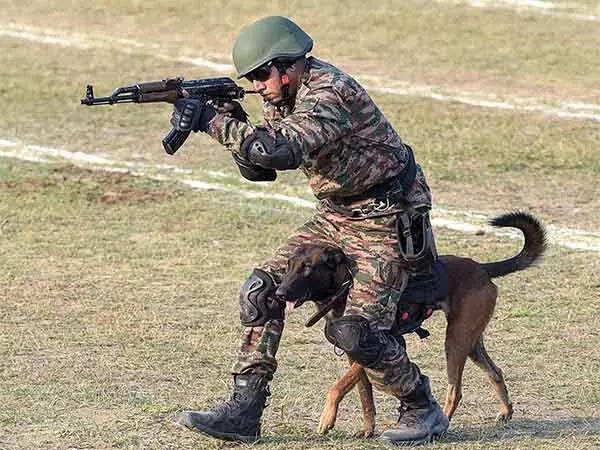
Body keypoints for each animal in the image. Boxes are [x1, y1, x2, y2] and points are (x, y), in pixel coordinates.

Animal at [274, 212, 548, 440]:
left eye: (307, 268)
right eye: (288, 266)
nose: (279, 293)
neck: (343, 288)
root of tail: (481, 268)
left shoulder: (371, 348)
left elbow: (337, 387)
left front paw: (326, 419)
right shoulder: (355, 358)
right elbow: (365, 397)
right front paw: (367, 430)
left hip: (455, 341)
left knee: (455, 391)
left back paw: (441, 425)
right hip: (471, 342)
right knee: (495, 372)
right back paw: (505, 411)